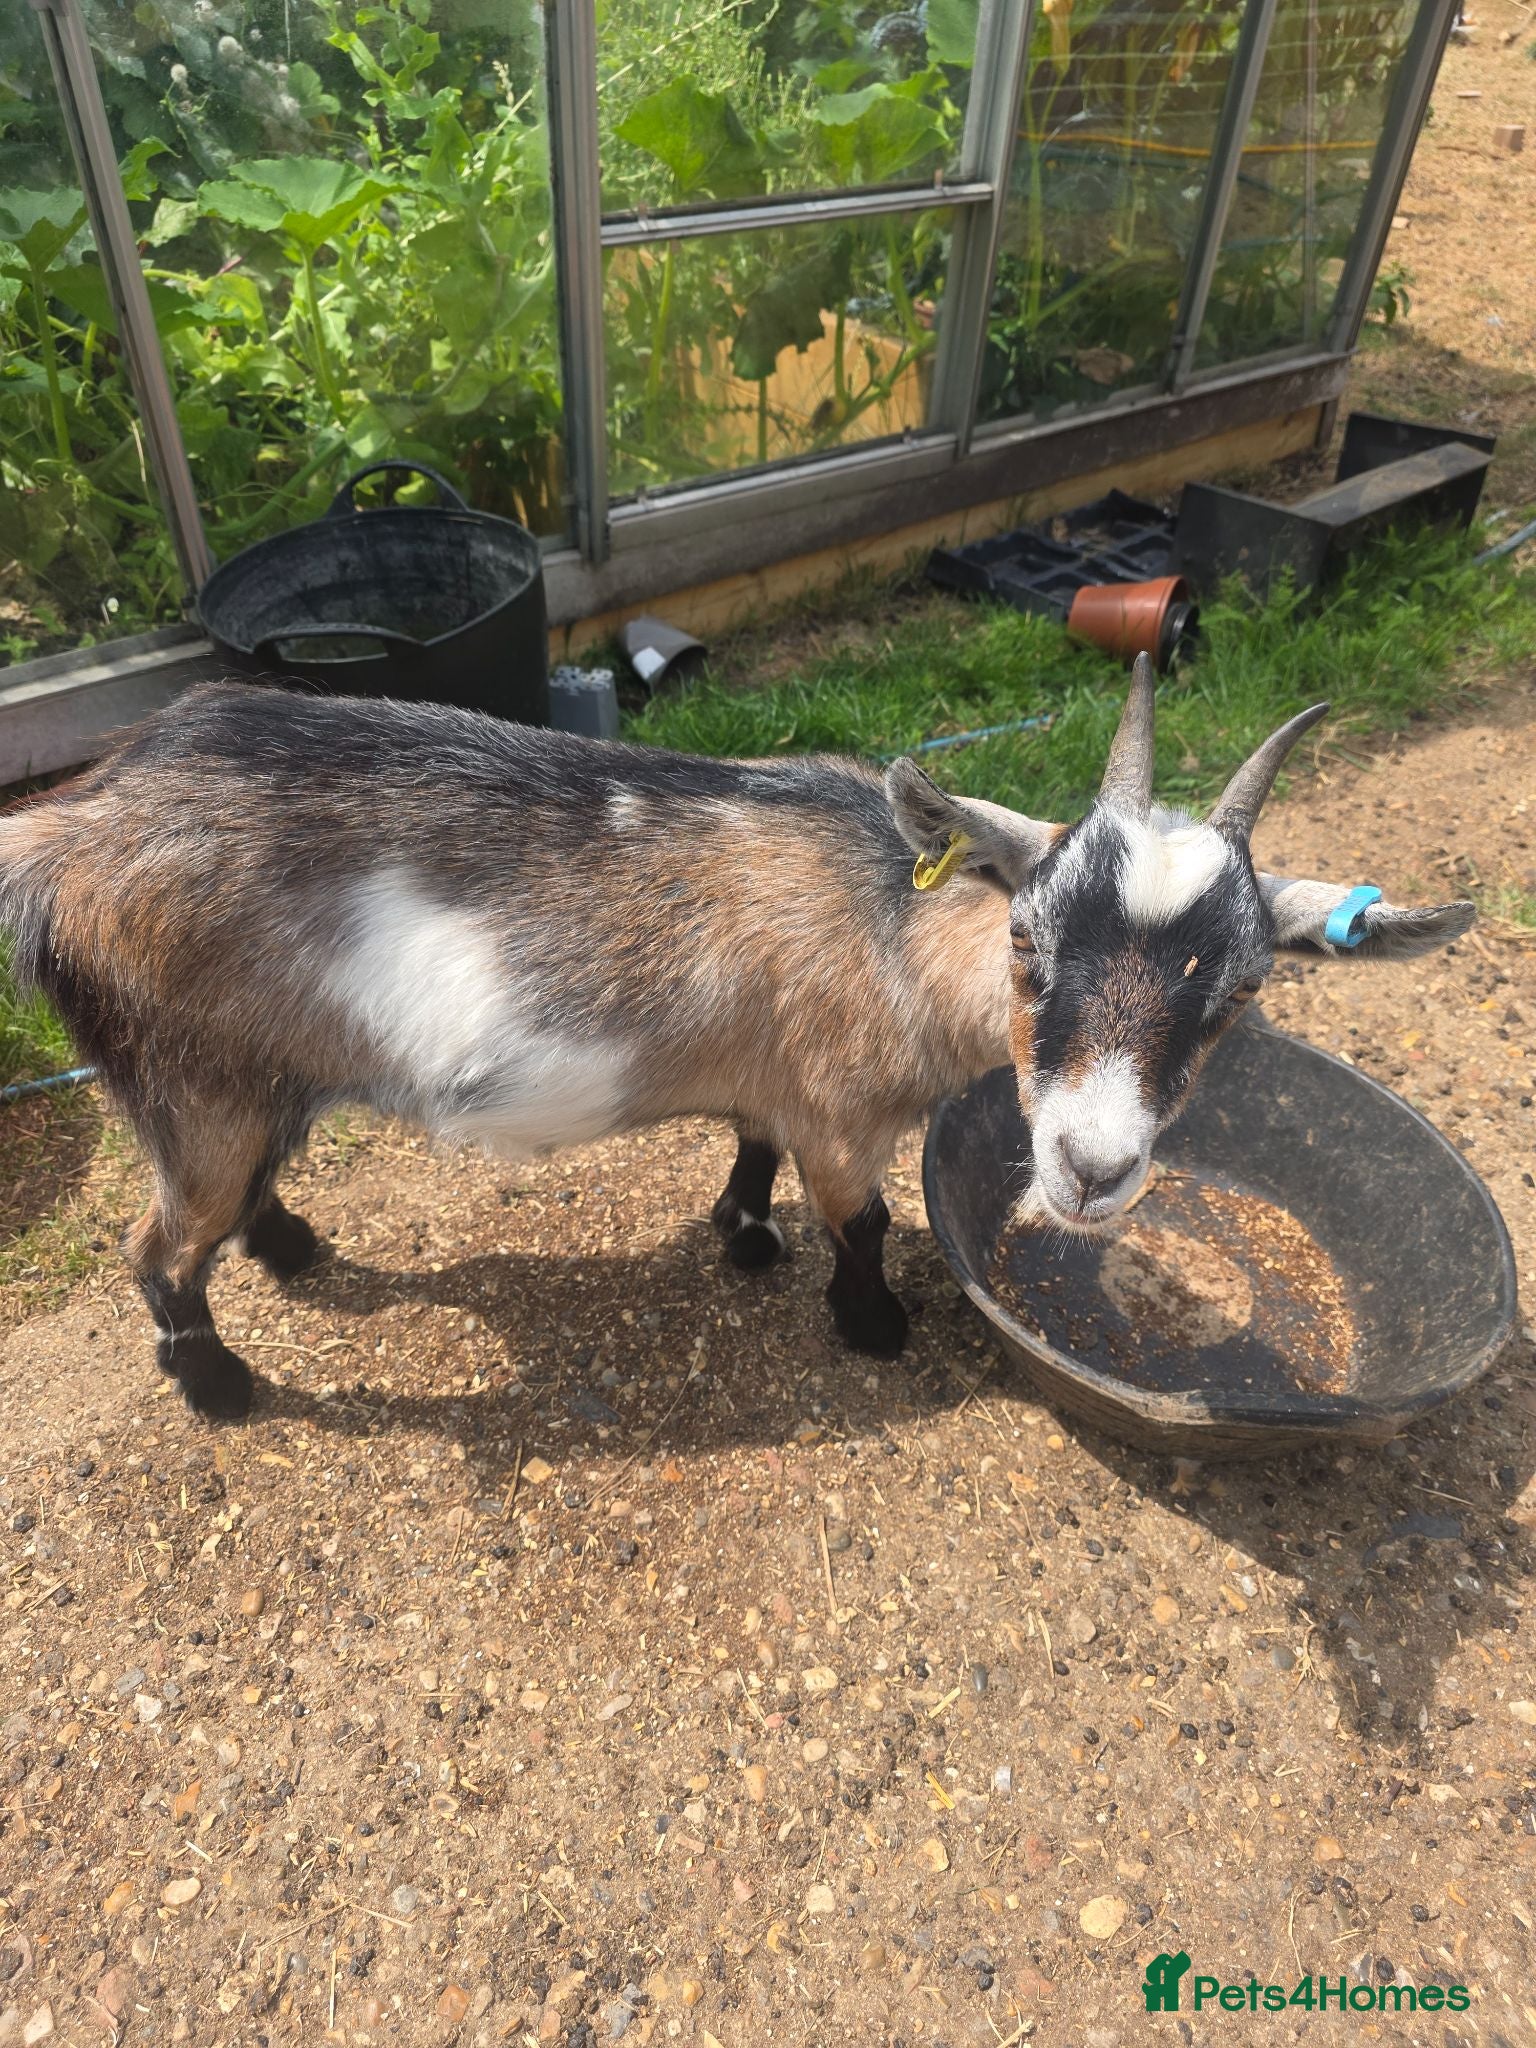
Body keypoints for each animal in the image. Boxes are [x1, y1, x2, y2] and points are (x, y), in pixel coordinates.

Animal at [0, 661, 1471, 1421]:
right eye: (1029, 945)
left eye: (1240, 998)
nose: (1093, 1169)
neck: (896, 929)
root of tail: (71, 827)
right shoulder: (839, 1109)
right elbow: (864, 1220)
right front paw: (869, 1324)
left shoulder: (776, 1082)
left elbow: (750, 1151)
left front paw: (745, 1237)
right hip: (189, 1080)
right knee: (156, 1243)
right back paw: (217, 1381)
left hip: (249, 1076)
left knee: (241, 1187)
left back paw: (293, 1248)